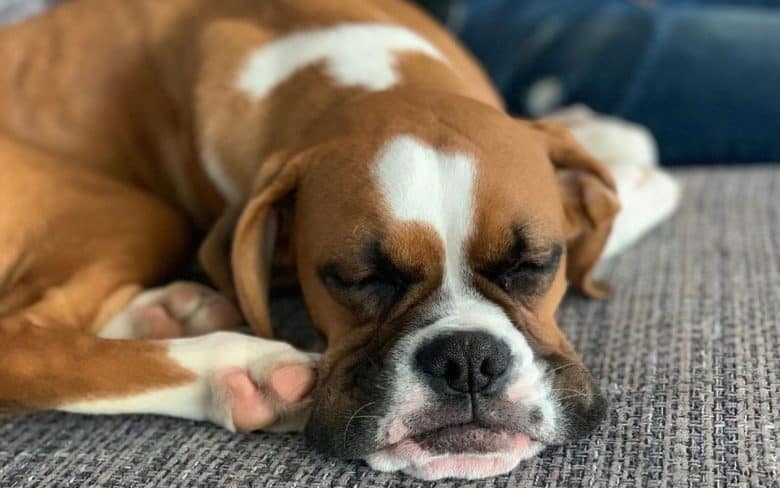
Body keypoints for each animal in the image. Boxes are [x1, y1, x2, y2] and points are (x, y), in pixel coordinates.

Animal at [0, 0, 628, 480]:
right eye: (358, 278)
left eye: (534, 264)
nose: (467, 359)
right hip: (134, 212)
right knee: (29, 337)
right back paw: (245, 372)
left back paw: (171, 310)